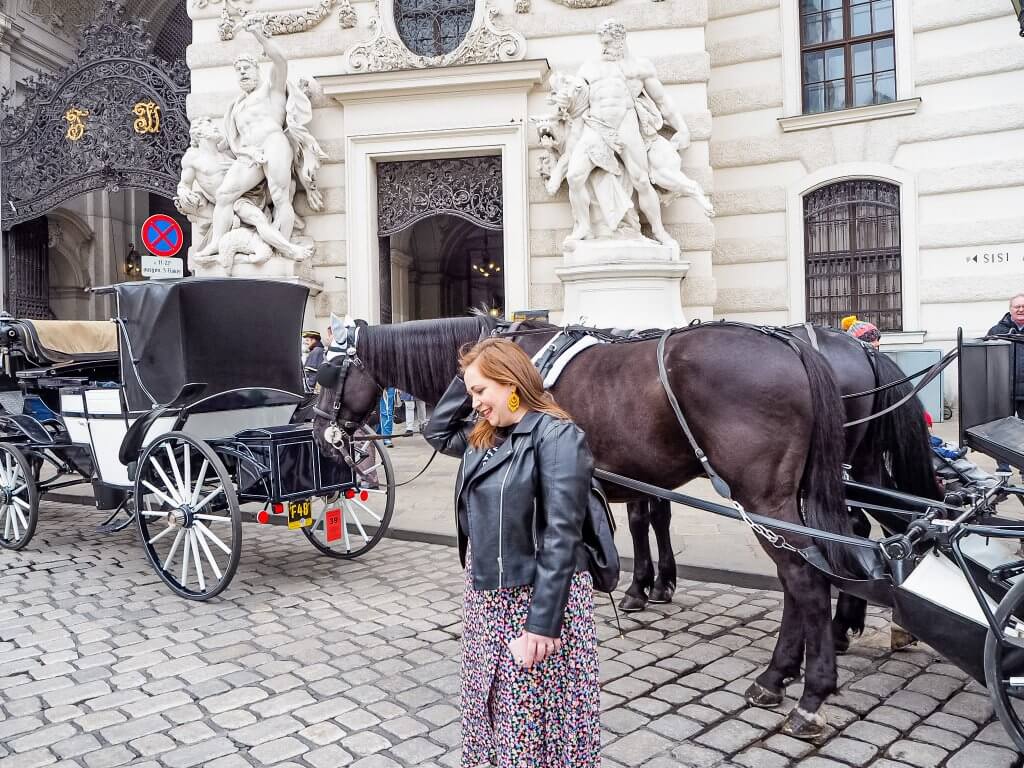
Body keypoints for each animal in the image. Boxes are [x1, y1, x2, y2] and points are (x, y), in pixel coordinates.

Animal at [311, 317, 864, 741]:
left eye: (327, 372)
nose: (319, 432)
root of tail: (791, 343)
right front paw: (637, 587)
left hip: (763, 497)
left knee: (806, 581)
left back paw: (807, 692)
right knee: (809, 572)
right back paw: (784, 672)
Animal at [618, 325, 937, 651]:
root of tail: (863, 349)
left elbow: (640, 521)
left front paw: (639, 587)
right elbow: (658, 519)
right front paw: (660, 583)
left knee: (854, 528)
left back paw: (843, 624)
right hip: (864, 462)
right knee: (889, 521)